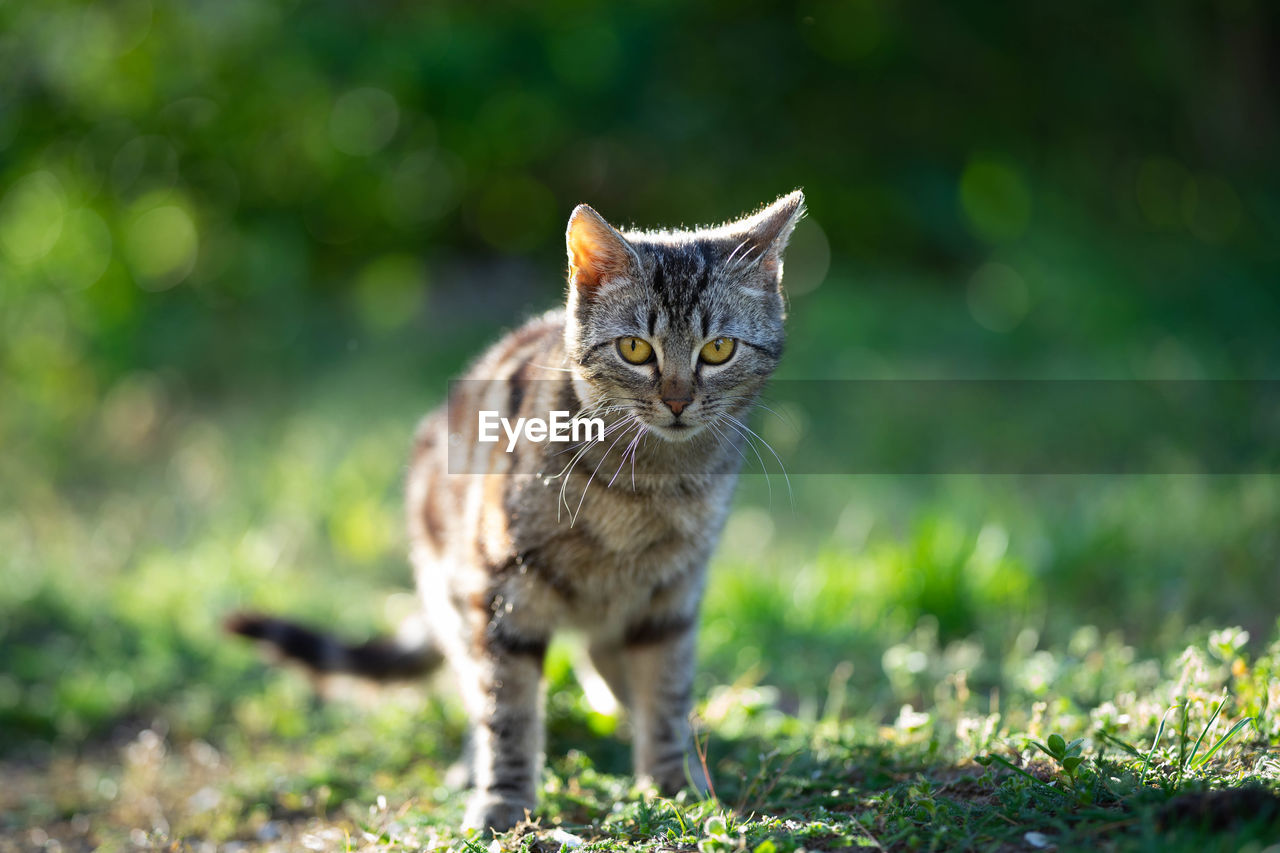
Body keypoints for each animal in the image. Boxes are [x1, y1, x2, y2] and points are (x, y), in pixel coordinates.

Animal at [230, 188, 803, 829]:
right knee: (476, 681)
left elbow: (665, 695)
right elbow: (507, 711)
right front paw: (504, 799)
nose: (677, 400)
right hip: (453, 592)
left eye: (718, 349)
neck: (644, 487)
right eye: (635, 348)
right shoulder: (501, 592)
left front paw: (673, 783)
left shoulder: (672, 598)